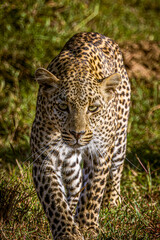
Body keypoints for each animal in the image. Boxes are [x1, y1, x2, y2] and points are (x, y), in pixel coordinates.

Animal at [30, 31, 131, 240]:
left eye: (93, 108)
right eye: (62, 106)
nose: (78, 133)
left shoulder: (100, 153)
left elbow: (93, 190)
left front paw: (86, 227)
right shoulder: (44, 158)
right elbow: (55, 200)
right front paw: (69, 231)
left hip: (119, 140)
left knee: (115, 171)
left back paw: (112, 203)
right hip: (71, 163)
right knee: (75, 185)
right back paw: (72, 209)